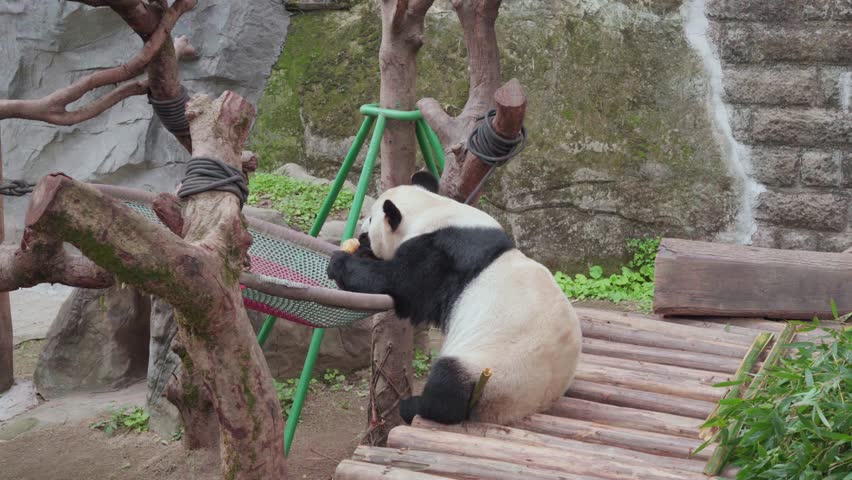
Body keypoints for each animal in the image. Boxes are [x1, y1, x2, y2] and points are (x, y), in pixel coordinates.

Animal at [327, 171, 582, 426]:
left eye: (370, 220)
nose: (361, 234)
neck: (431, 211)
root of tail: (533, 404)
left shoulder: (439, 255)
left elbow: (398, 283)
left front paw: (340, 262)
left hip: (497, 368)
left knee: (447, 387)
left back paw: (413, 406)